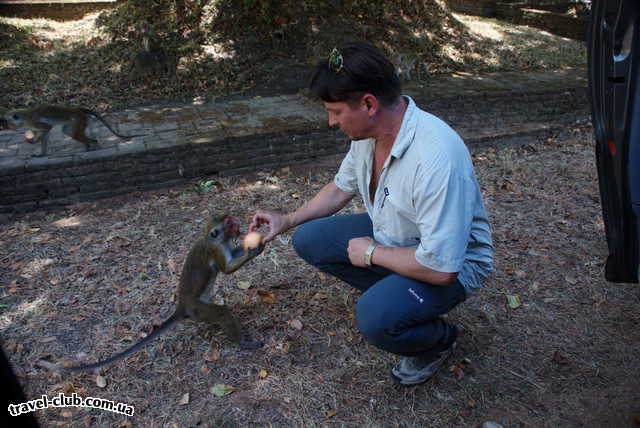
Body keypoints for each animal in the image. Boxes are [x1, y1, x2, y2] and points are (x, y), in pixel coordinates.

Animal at [5, 105, 146, 157]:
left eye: (10, 122)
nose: (10, 127)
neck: (24, 118)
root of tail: (76, 108)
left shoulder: (32, 122)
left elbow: (47, 128)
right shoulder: (32, 126)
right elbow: (45, 133)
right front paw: (40, 152)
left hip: (77, 119)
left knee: (72, 133)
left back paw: (89, 145)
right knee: (68, 132)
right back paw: (93, 143)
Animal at [36, 212, 266, 372]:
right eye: (228, 223)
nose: (237, 224)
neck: (214, 239)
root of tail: (182, 306)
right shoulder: (215, 249)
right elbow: (226, 269)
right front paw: (256, 248)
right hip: (198, 309)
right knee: (221, 312)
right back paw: (241, 342)